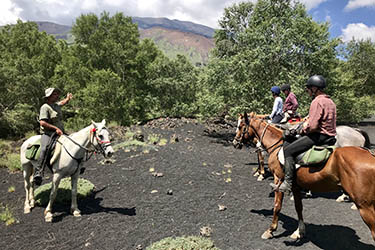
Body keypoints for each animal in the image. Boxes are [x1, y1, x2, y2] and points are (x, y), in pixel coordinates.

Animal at [235, 112, 375, 240]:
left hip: (365, 207)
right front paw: (299, 232)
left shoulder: (278, 179)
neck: (277, 145)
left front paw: (271, 230)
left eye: (241, 126)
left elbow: (277, 206)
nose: (235, 142)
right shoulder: (296, 185)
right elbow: (298, 207)